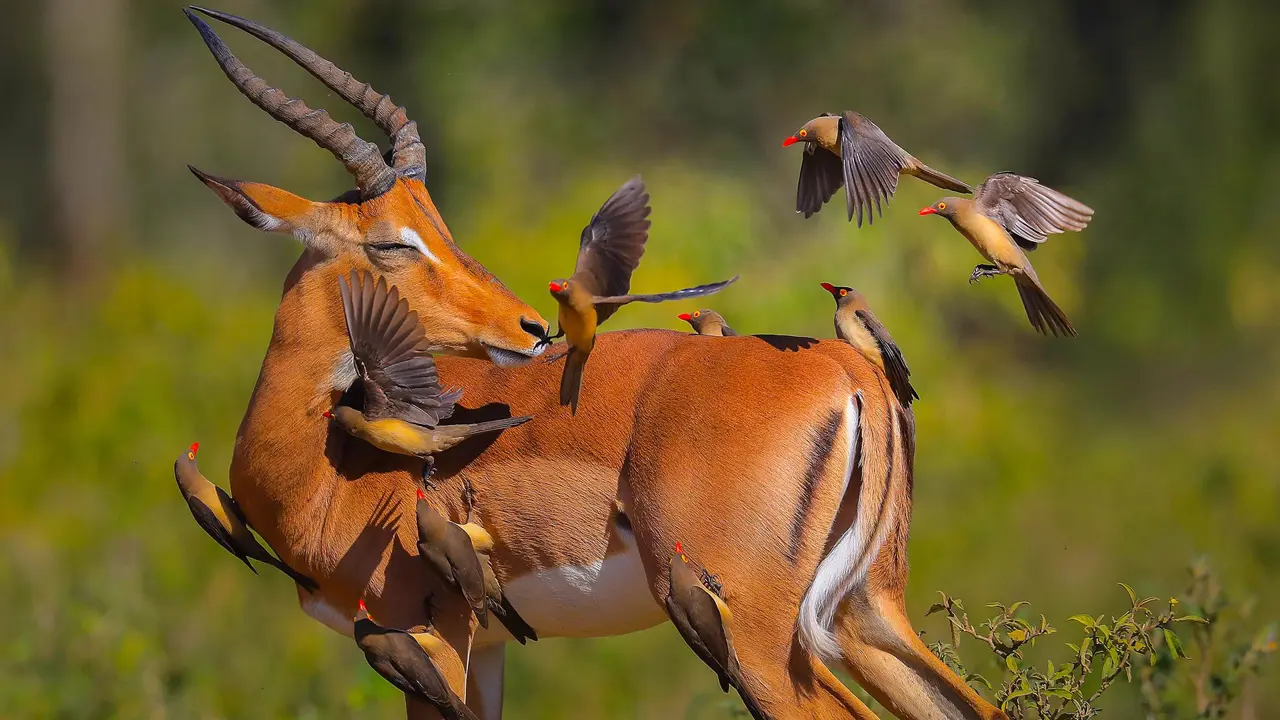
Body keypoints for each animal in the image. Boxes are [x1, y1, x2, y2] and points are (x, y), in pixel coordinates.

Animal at [184, 7, 1006, 720]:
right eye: (395, 239)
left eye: (433, 227)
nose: (528, 327)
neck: (322, 470)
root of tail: (850, 373)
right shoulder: (487, 648)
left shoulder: (425, 632)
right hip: (866, 614)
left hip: (758, 635)